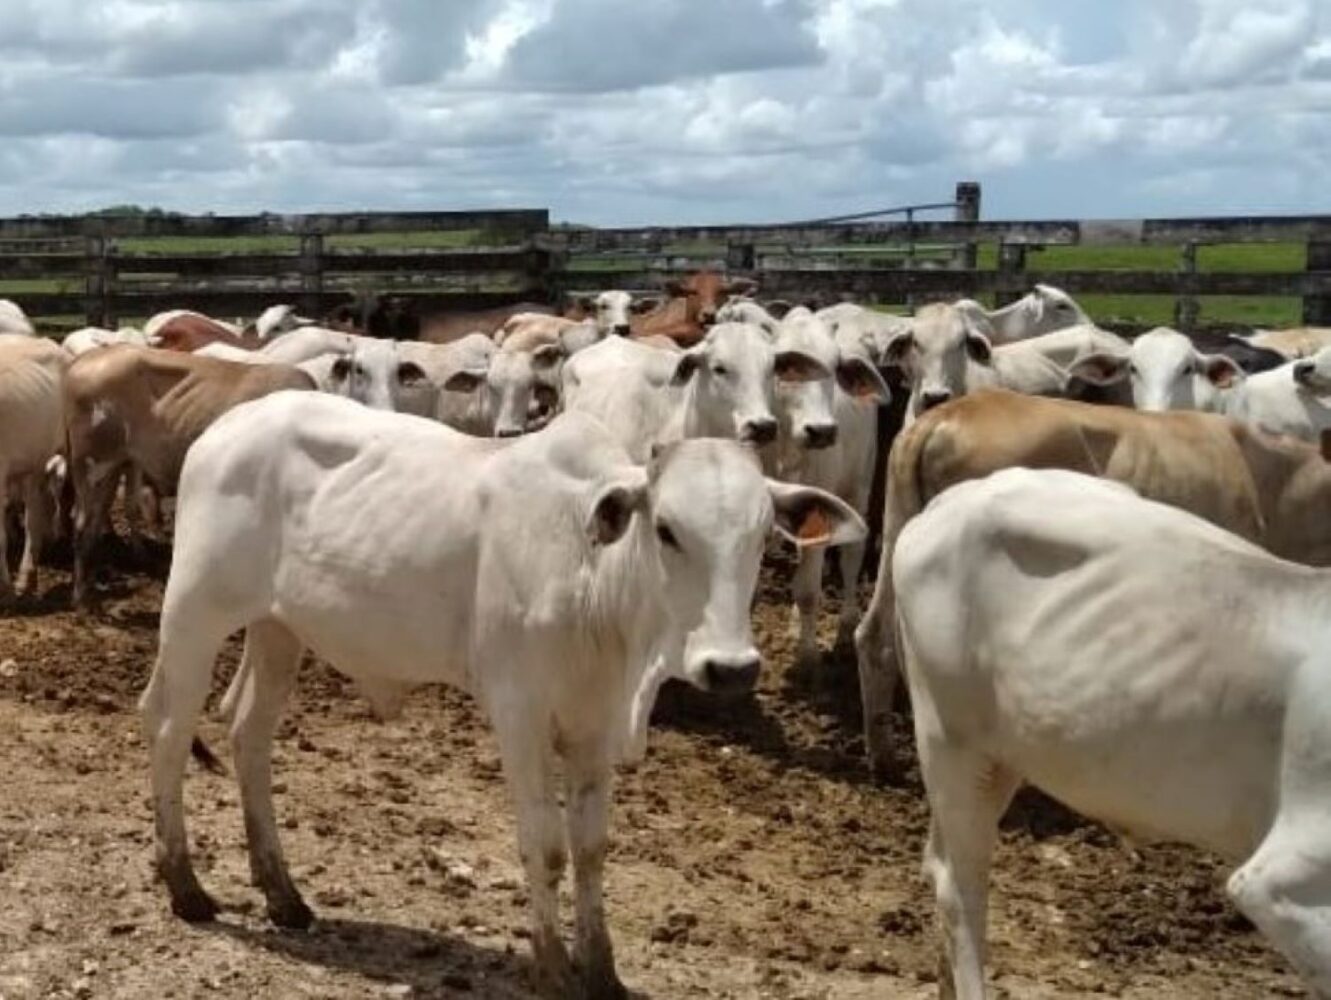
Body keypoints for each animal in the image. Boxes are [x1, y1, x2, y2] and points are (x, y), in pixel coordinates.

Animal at [62, 346, 315, 605]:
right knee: (81, 520)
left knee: (106, 514)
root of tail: (89, 355)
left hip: (120, 462)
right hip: (90, 462)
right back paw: (79, 594)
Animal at [138, 396, 864, 999]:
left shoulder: (595, 722)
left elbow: (590, 845)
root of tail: (231, 422)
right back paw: (186, 886)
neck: (592, 580)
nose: (731, 668)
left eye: (762, 534)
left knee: (249, 734)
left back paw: (283, 894)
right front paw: (551, 969)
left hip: (279, 628)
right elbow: (544, 843)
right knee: (170, 728)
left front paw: (601, 970)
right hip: (195, 612)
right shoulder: (519, 713)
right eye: (665, 529)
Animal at [895, 467, 1331, 999]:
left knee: (937, 863)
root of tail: (959, 496)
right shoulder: (1282, 878)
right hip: (949, 738)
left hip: (999, 756)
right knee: (959, 887)